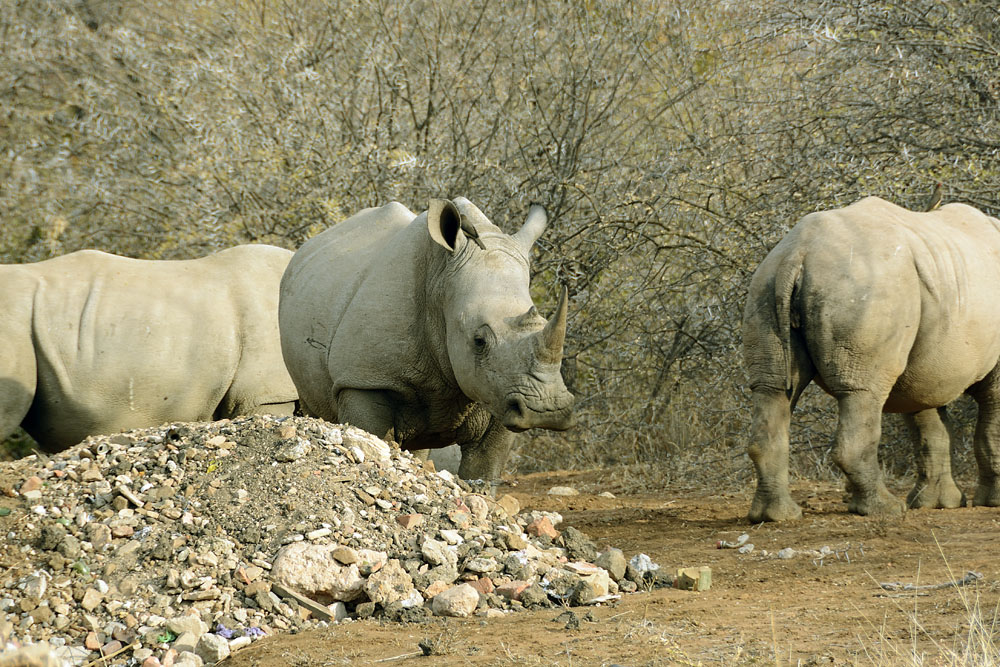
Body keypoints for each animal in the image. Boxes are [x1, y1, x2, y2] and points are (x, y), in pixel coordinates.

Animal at [278, 198, 575, 480]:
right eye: (479, 341)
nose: (547, 410)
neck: (441, 281)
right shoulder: (364, 378)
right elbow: (372, 439)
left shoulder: (502, 390)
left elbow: (483, 469)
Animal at [743, 196, 1000, 521]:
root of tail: (797, 253)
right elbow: (986, 426)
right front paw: (990, 502)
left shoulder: (927, 362)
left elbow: (930, 426)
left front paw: (938, 504)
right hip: (865, 286)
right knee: (862, 391)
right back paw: (885, 509)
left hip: (765, 285)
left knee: (772, 390)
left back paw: (776, 516)